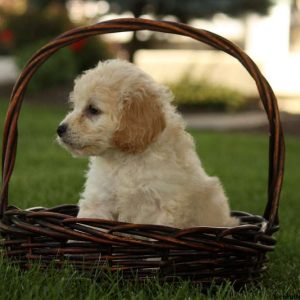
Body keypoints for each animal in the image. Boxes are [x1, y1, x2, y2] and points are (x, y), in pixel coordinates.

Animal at [57, 59, 238, 227]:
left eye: (93, 110)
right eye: (74, 106)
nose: (60, 129)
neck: (123, 160)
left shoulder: (164, 206)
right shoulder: (98, 199)